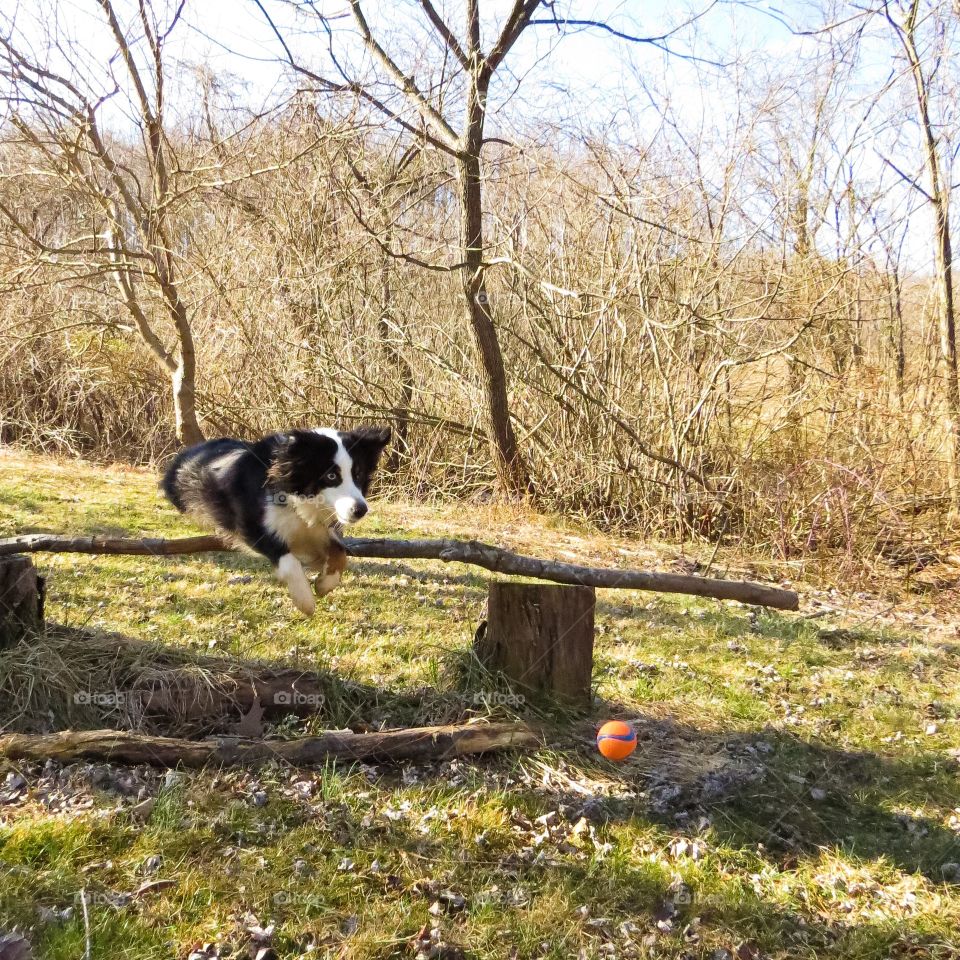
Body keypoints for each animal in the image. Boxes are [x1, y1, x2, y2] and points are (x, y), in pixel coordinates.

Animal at [161, 428, 390, 616]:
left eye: (358, 474)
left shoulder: (317, 530)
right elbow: (288, 560)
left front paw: (324, 584)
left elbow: (340, 553)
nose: (360, 510)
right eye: (331, 476)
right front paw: (305, 601)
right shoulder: (252, 523)